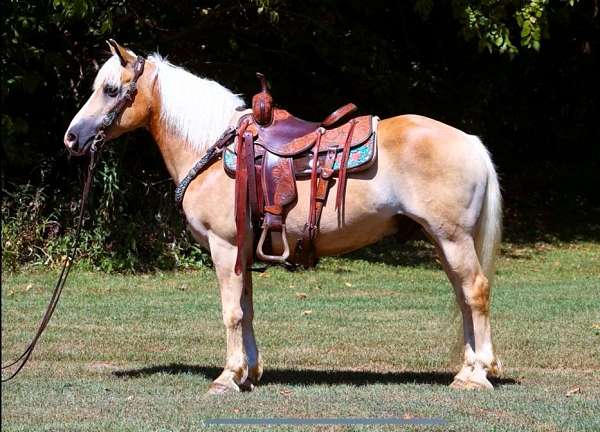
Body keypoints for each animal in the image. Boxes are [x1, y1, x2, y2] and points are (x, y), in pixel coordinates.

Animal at [63, 42, 502, 394]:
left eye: (111, 90)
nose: (71, 137)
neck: (212, 148)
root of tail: (471, 141)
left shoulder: (224, 247)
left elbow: (231, 312)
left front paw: (228, 377)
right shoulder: (241, 251)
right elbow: (246, 309)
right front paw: (249, 372)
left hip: (453, 237)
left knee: (476, 292)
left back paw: (479, 374)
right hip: (443, 240)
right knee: (463, 296)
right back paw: (465, 371)